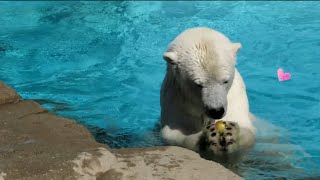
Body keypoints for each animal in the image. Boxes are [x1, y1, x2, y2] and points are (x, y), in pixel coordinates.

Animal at [161, 26, 256, 158]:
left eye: (225, 81)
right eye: (198, 84)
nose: (216, 111)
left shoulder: (235, 97)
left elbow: (246, 128)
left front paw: (230, 132)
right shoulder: (176, 99)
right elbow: (172, 133)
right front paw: (210, 136)